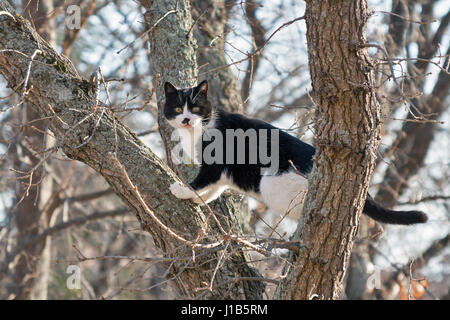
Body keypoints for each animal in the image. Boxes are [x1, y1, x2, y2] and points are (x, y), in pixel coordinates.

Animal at [164, 80, 428, 225]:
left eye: (196, 108)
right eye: (177, 108)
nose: (186, 119)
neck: (198, 130)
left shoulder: (217, 162)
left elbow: (201, 181)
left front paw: (182, 190)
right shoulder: (223, 174)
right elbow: (214, 189)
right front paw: (197, 199)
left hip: (272, 184)